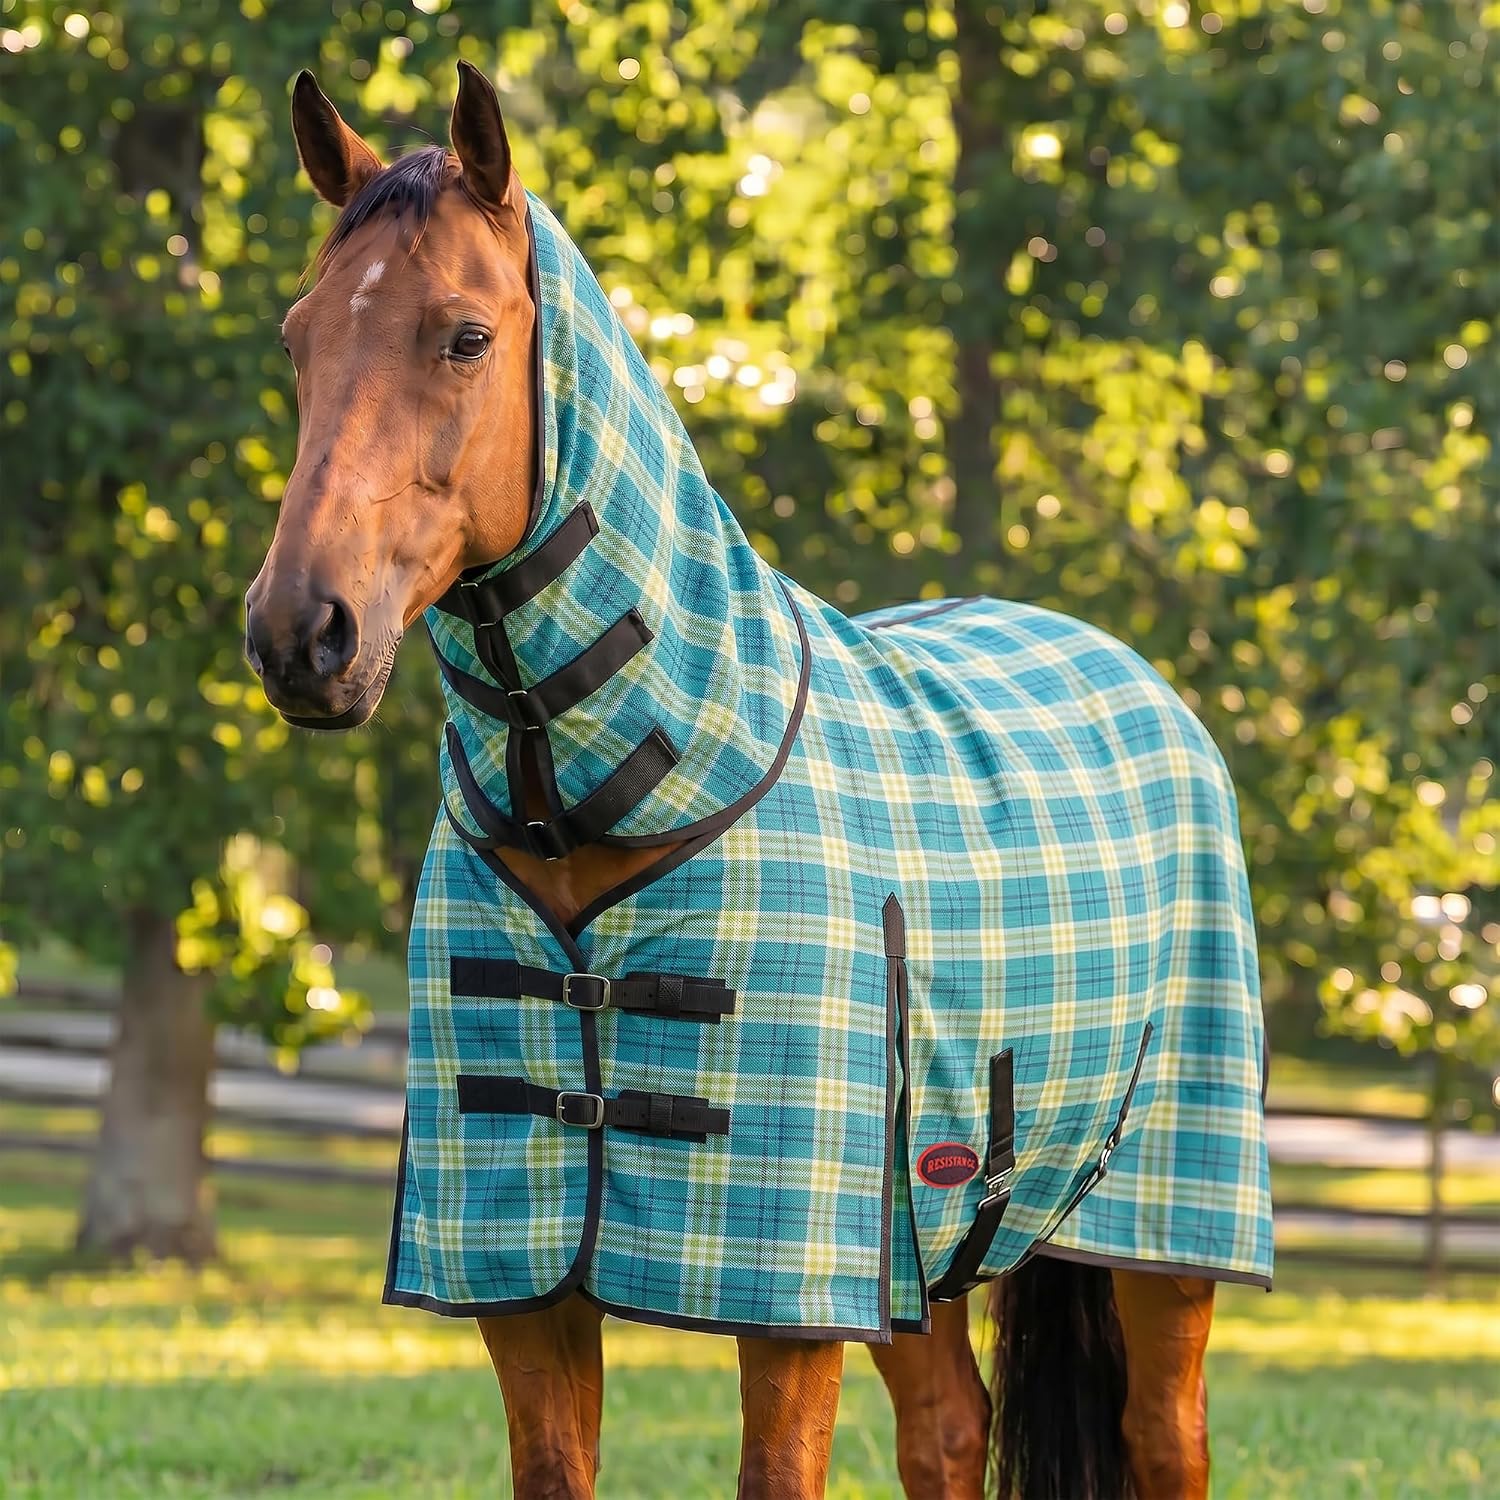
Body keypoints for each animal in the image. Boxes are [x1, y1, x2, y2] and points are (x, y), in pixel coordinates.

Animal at [246, 63, 1271, 1499]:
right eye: (299, 340)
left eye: (464, 337)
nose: (302, 635)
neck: (612, 797)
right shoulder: (526, 1284)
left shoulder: (785, 1293)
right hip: (919, 1245)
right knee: (949, 1433)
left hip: (1160, 1238)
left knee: (1163, 1441)